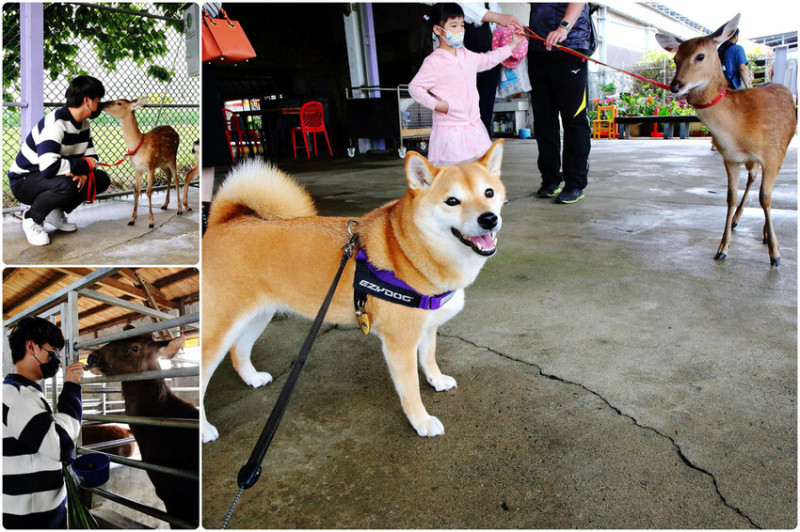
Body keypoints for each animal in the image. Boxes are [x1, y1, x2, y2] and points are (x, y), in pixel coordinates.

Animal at [102, 98, 183, 228]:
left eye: (119, 103)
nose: (103, 104)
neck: (138, 147)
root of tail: (175, 131)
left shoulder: (150, 166)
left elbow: (149, 191)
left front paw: (151, 222)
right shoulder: (137, 169)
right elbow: (137, 190)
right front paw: (132, 219)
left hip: (172, 157)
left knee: (176, 178)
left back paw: (180, 209)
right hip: (162, 163)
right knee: (169, 175)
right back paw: (165, 204)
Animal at [656, 14, 796, 267]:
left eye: (700, 56)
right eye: (675, 58)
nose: (675, 85)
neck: (739, 130)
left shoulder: (772, 154)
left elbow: (766, 198)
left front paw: (775, 254)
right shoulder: (730, 158)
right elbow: (730, 198)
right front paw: (722, 248)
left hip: (784, 145)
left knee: (765, 189)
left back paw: (764, 233)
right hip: (751, 161)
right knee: (752, 178)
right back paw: (737, 220)